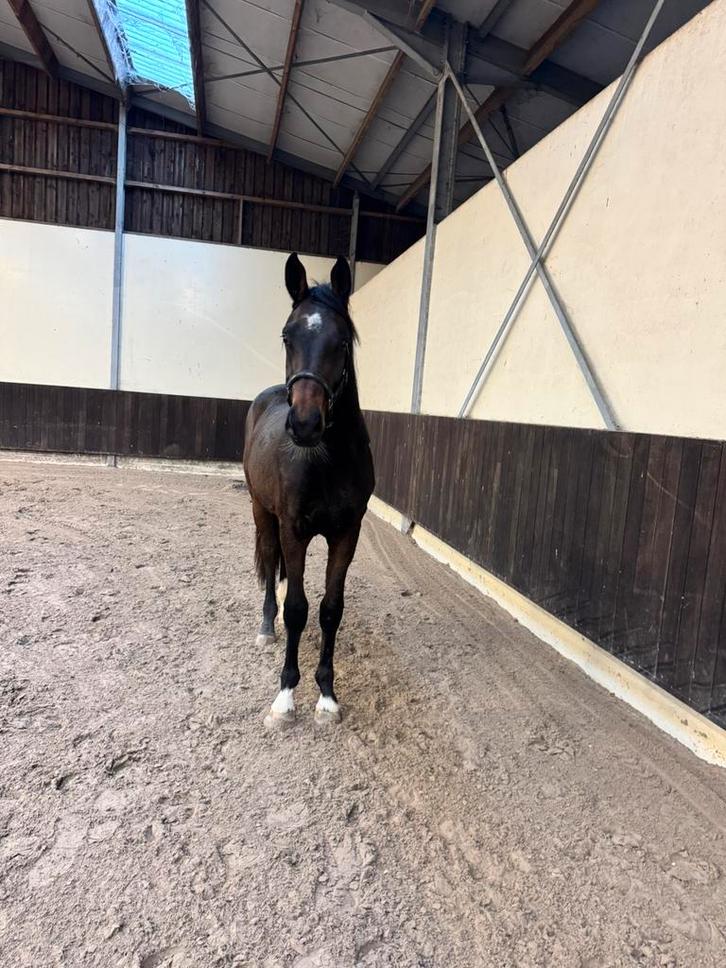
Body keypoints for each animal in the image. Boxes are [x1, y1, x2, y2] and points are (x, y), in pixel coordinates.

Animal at [243, 252, 375, 726]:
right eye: (287, 335)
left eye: (342, 341)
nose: (304, 423)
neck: (326, 462)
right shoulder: (293, 530)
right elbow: (298, 609)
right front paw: (285, 697)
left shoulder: (346, 535)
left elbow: (330, 610)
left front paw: (327, 696)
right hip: (263, 514)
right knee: (269, 566)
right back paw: (267, 627)